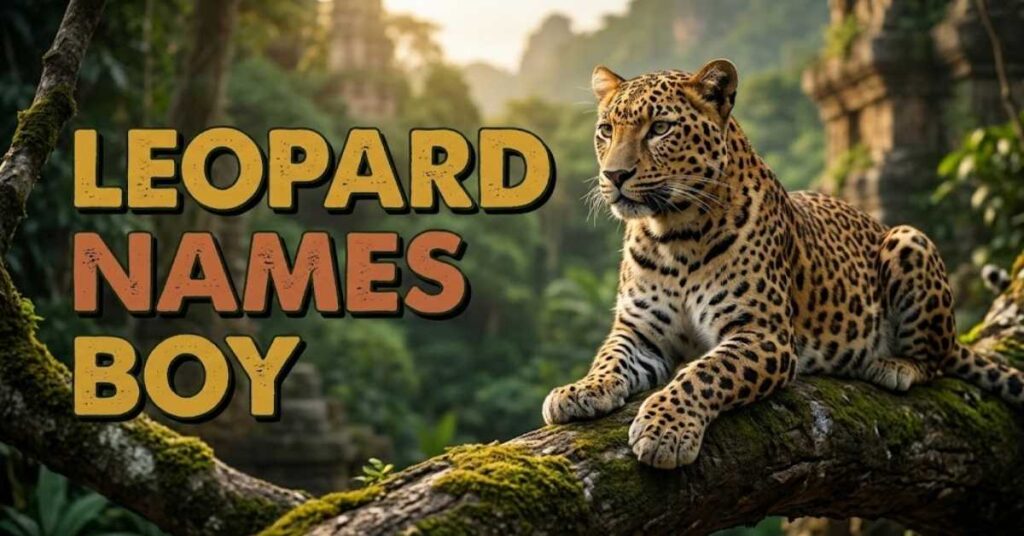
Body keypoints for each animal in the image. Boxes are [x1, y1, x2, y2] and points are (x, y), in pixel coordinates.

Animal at [541, 58, 1024, 469]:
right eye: (606, 130)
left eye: (660, 128)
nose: (614, 176)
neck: (672, 234)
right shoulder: (640, 332)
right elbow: (610, 358)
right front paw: (580, 390)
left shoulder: (764, 335)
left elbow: (703, 373)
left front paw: (666, 429)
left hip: (910, 239)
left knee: (935, 359)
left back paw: (895, 365)